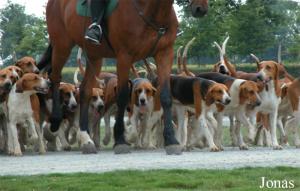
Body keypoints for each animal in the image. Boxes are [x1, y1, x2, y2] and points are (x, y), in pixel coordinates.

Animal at [38, 0, 209, 154]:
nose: (200, 9)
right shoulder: (124, 57)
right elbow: (122, 96)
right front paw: (120, 140)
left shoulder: (165, 53)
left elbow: (166, 96)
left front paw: (171, 141)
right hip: (62, 45)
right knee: (55, 77)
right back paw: (55, 122)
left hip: (95, 56)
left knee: (85, 90)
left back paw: (86, 139)